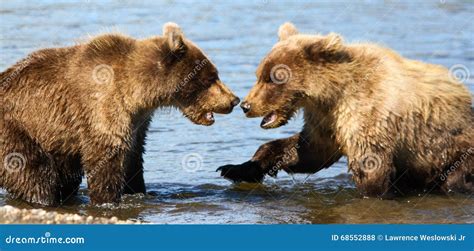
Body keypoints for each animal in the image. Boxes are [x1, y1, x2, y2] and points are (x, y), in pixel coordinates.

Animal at [0, 22, 241, 205]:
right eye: (211, 77)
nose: (233, 100)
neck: (137, 93)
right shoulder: (101, 107)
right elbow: (106, 157)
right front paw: (107, 200)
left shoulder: (138, 122)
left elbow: (134, 158)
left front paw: (139, 191)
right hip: (16, 131)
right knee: (33, 173)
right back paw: (44, 198)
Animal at [218, 22, 470, 197]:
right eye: (259, 74)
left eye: (273, 78)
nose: (246, 105)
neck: (333, 93)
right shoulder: (325, 119)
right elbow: (309, 151)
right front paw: (235, 169)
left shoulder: (368, 114)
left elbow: (370, 166)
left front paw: (370, 193)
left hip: (453, 152)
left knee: (454, 179)